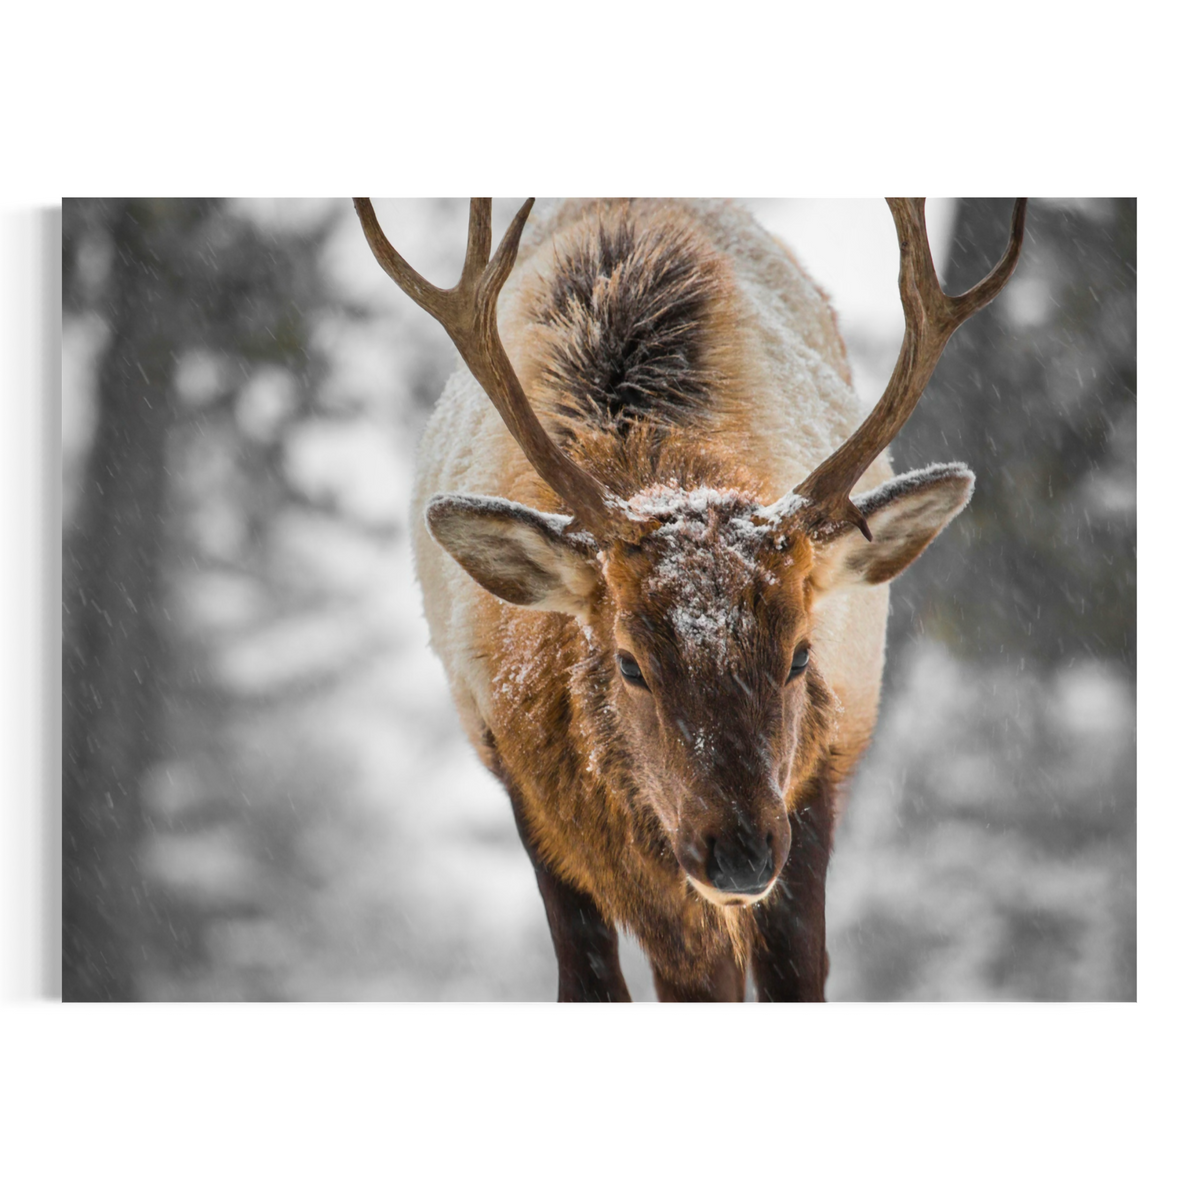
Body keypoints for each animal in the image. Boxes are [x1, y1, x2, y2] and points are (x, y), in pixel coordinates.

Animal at [354, 197, 1026, 1001]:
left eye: (801, 654)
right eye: (629, 662)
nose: (737, 854)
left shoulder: (815, 781)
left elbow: (796, 976)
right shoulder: (531, 791)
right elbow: (595, 982)